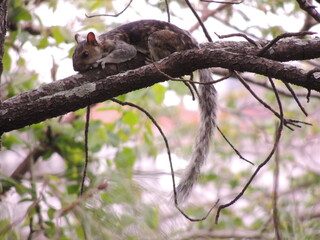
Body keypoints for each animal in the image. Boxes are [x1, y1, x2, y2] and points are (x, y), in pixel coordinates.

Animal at [72, 19, 218, 202]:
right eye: (73, 54)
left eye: (85, 54)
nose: (76, 68)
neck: (104, 41)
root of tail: (193, 44)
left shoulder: (119, 44)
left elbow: (127, 51)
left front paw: (103, 60)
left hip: (158, 39)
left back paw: (152, 60)